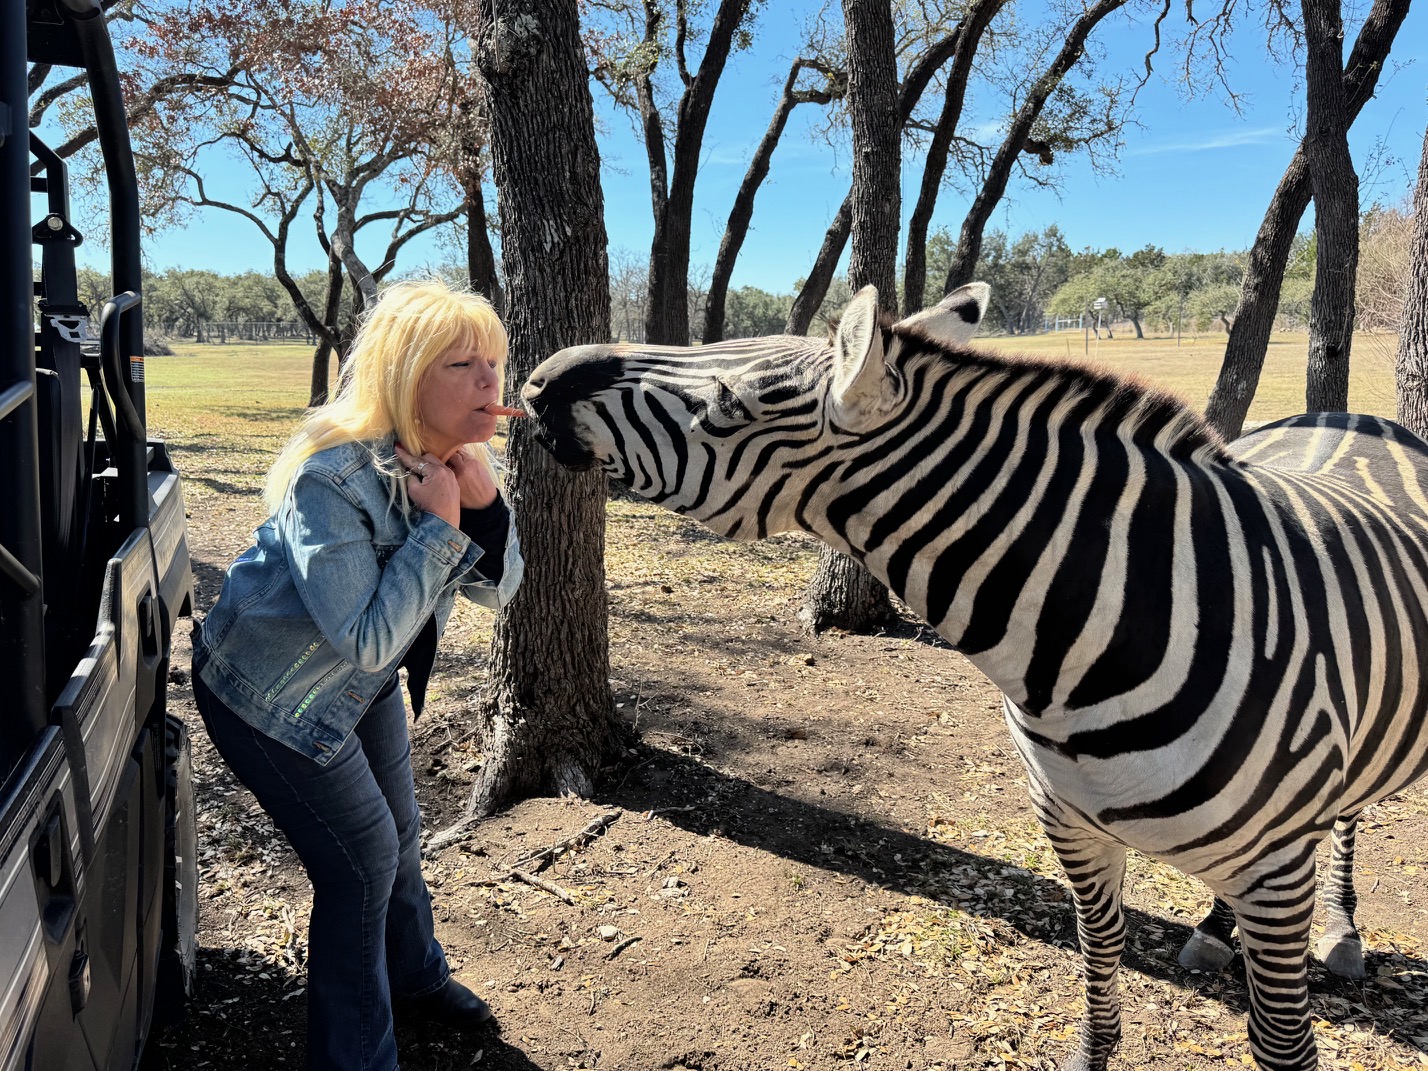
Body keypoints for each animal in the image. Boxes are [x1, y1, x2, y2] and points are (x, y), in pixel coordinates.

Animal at [521, 283, 1428, 1071]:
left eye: (725, 405)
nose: (535, 379)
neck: (1097, 632)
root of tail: (1344, 413)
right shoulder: (1072, 825)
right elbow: (1099, 960)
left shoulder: (1272, 868)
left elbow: (1281, 1042)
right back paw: (1214, 928)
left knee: (1347, 817)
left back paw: (1340, 931)